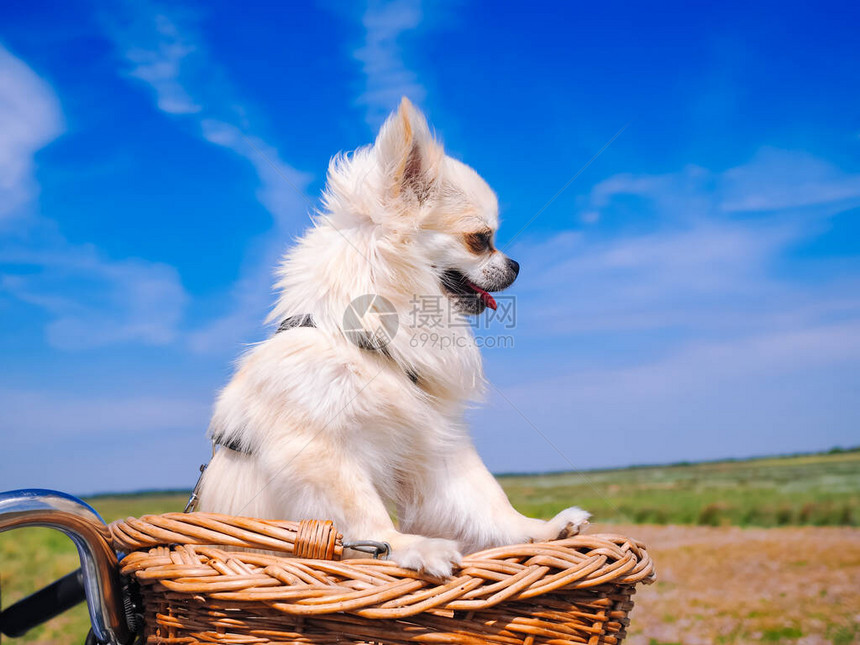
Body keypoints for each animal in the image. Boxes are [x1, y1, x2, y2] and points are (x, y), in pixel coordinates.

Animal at [199, 99, 592, 572]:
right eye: (481, 240)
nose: (516, 265)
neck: (365, 346)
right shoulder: (319, 455)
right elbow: (364, 519)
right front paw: (412, 547)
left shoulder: (433, 446)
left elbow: (486, 501)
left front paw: (540, 531)